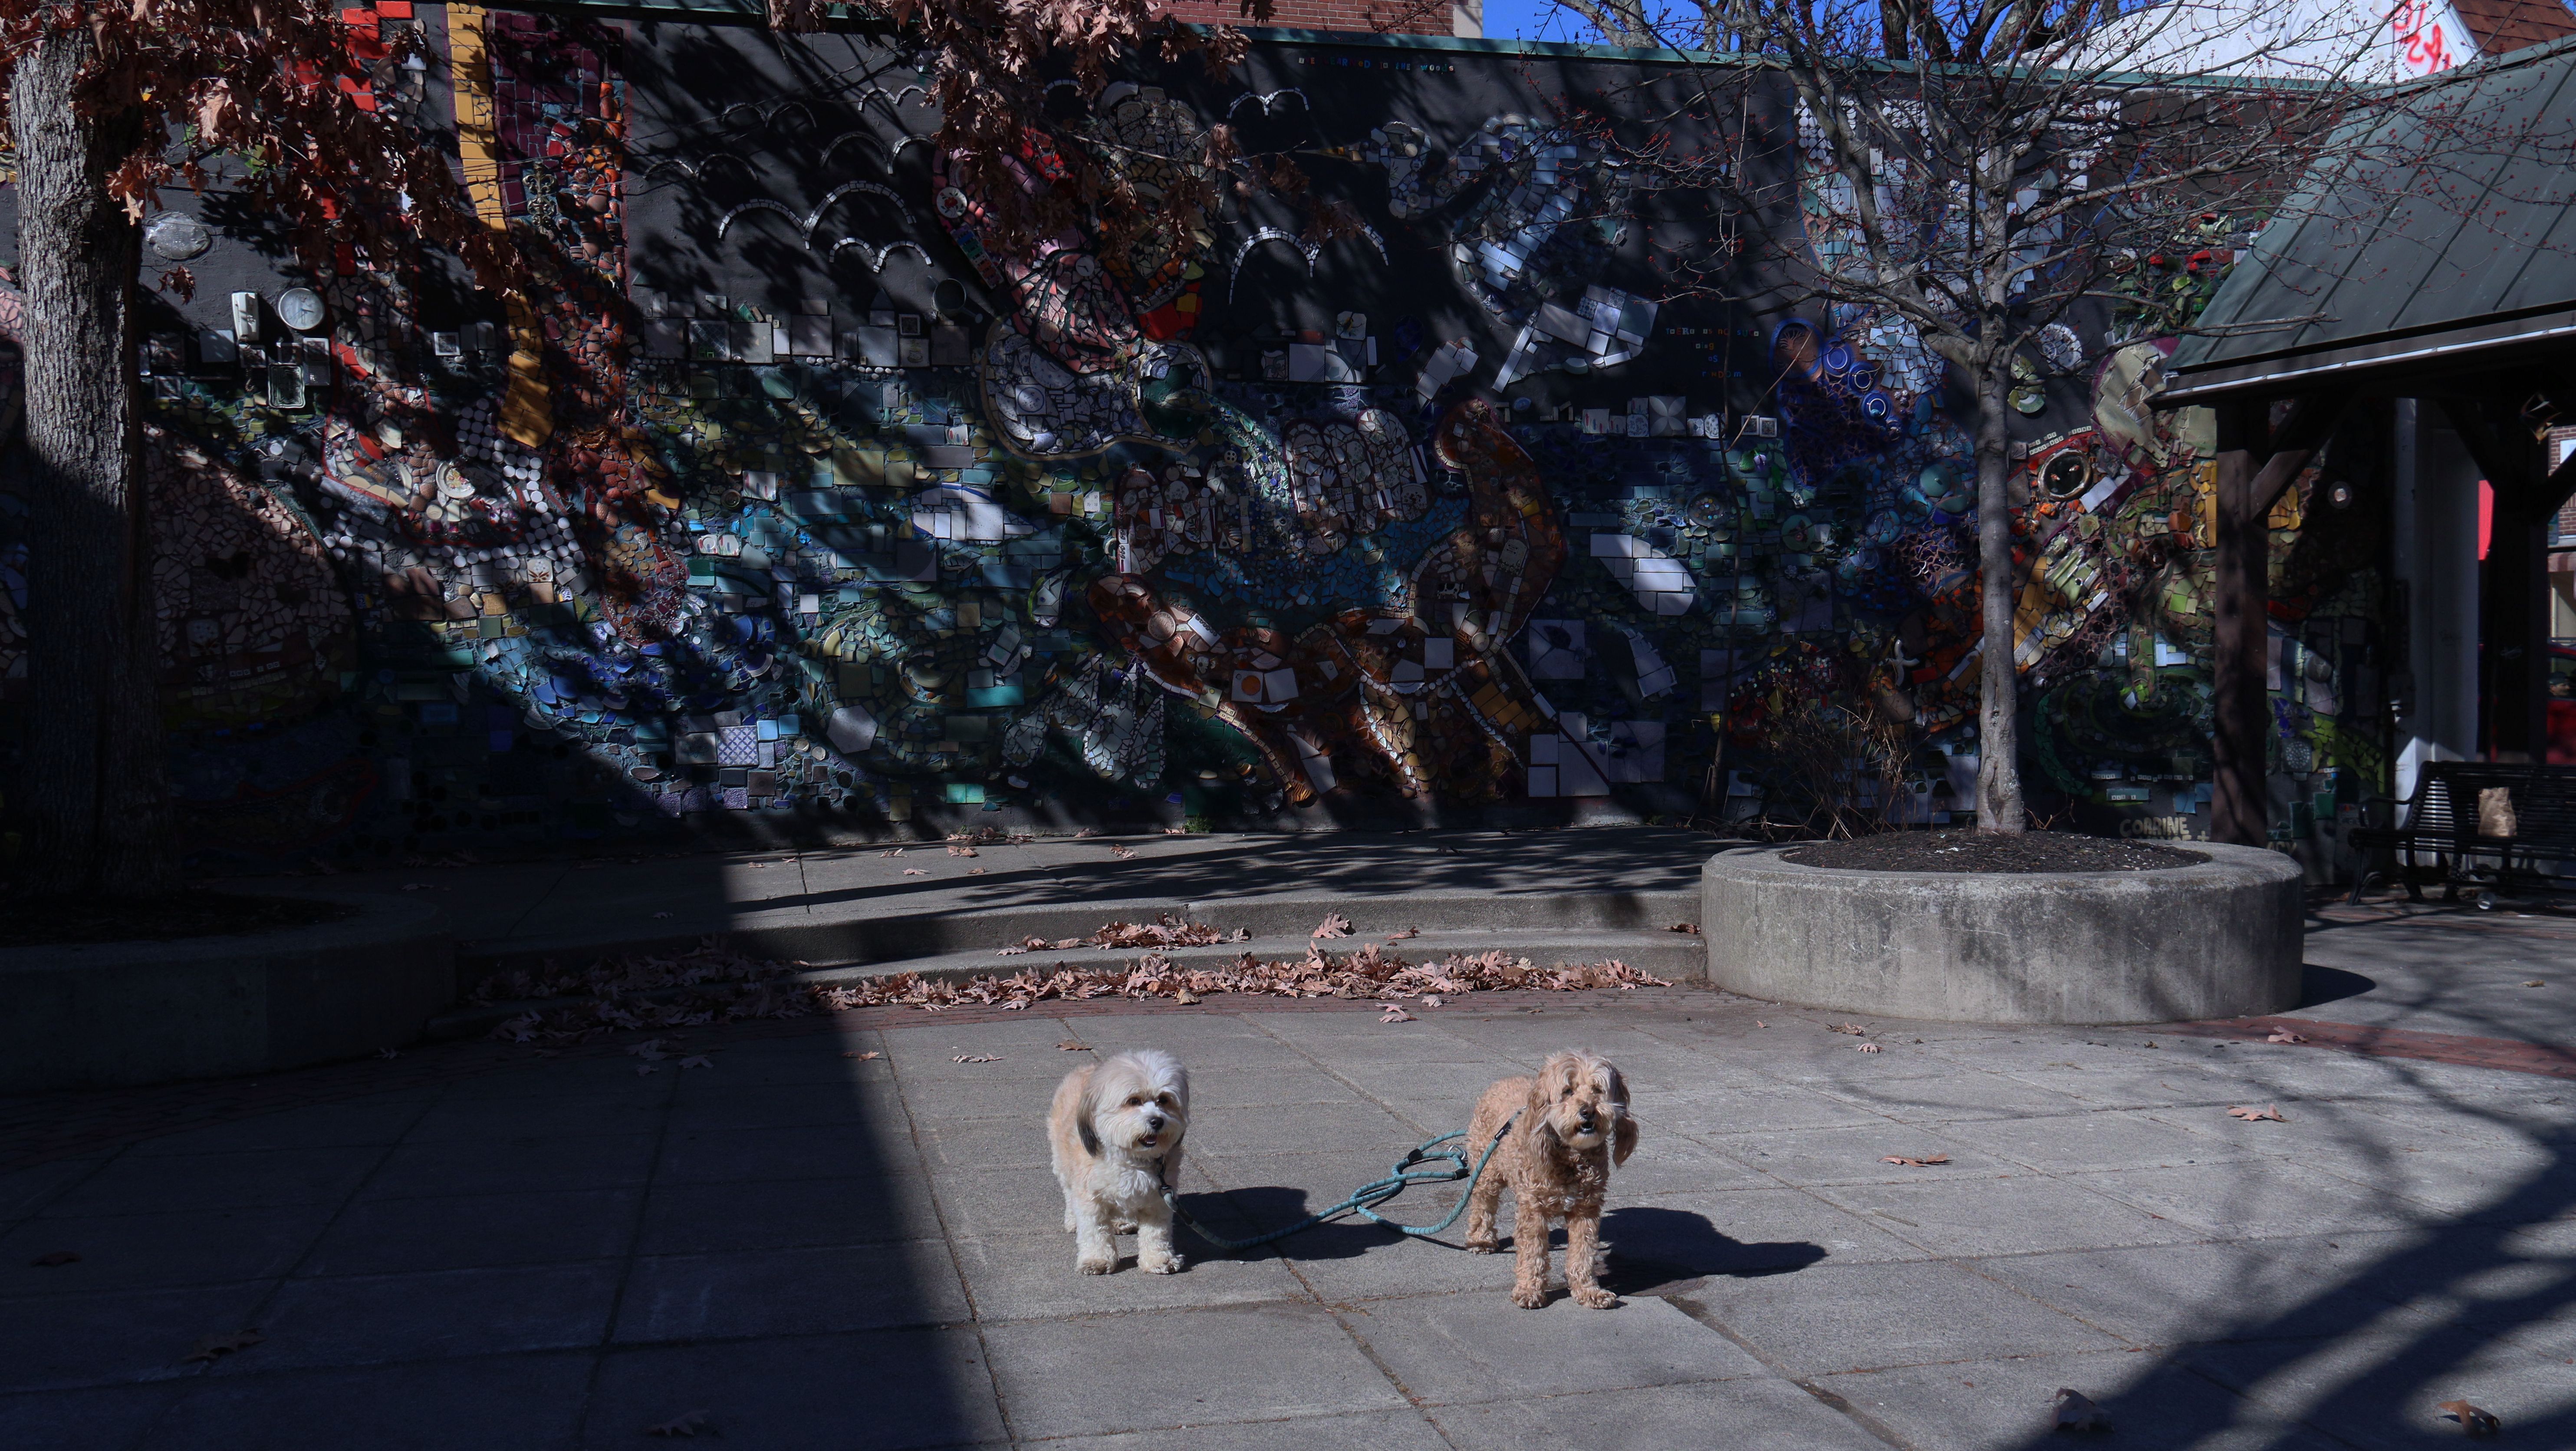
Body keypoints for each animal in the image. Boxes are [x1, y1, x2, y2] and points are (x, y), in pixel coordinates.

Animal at [1048, 1048, 1190, 1275]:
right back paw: (1072, 1221)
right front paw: (1097, 1259)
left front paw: (1158, 1259)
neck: (1132, 1158)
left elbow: (1156, 1233)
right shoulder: (1090, 1199)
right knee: (1069, 1194)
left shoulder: (1160, 1197)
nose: (1157, 1121)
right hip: (1062, 1162)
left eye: (1163, 1099)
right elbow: (1094, 1231)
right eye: (1133, 1101)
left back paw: (1122, 1222)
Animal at [1463, 1049, 1637, 1308]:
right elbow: (1532, 1252)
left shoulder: (1586, 1211)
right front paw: (1528, 1290)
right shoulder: (1533, 1210)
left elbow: (1583, 1254)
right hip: (1487, 1171)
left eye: (1597, 1089)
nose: (1588, 1111)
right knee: (1483, 1204)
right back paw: (1481, 1239)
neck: (1572, 1157)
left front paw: (1588, 1291)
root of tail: (1503, 1081)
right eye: (1568, 1091)